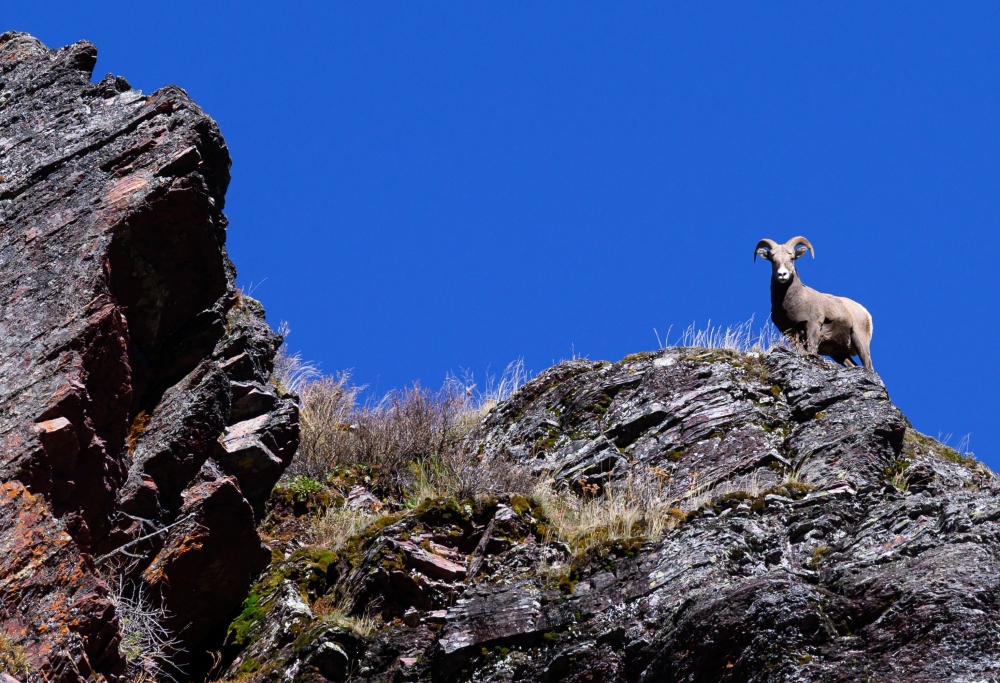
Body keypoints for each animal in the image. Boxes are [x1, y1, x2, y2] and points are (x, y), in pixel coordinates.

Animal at [754, 236, 874, 370]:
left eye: (792, 258)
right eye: (772, 260)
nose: (782, 274)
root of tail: (865, 312)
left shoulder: (813, 325)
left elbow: (811, 350)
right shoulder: (792, 333)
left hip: (860, 340)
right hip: (840, 354)